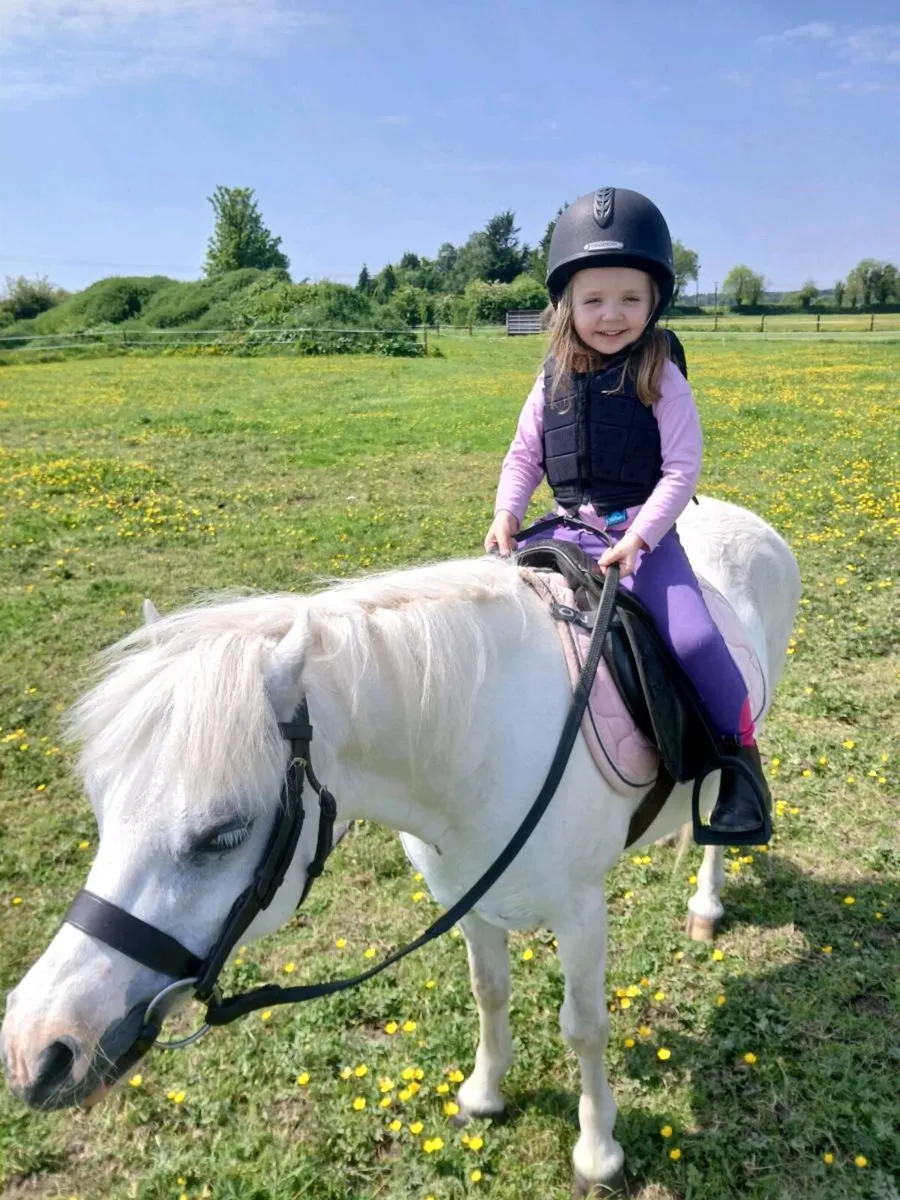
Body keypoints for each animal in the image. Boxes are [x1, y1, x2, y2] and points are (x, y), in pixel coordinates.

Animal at [1, 496, 800, 1195]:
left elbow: (585, 1028)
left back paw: (706, 904)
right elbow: (489, 991)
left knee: (719, 819)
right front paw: (484, 1092)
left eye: (222, 835)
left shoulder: (580, 913)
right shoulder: (467, 898)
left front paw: (598, 1152)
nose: (39, 1049)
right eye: (101, 806)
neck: (482, 738)